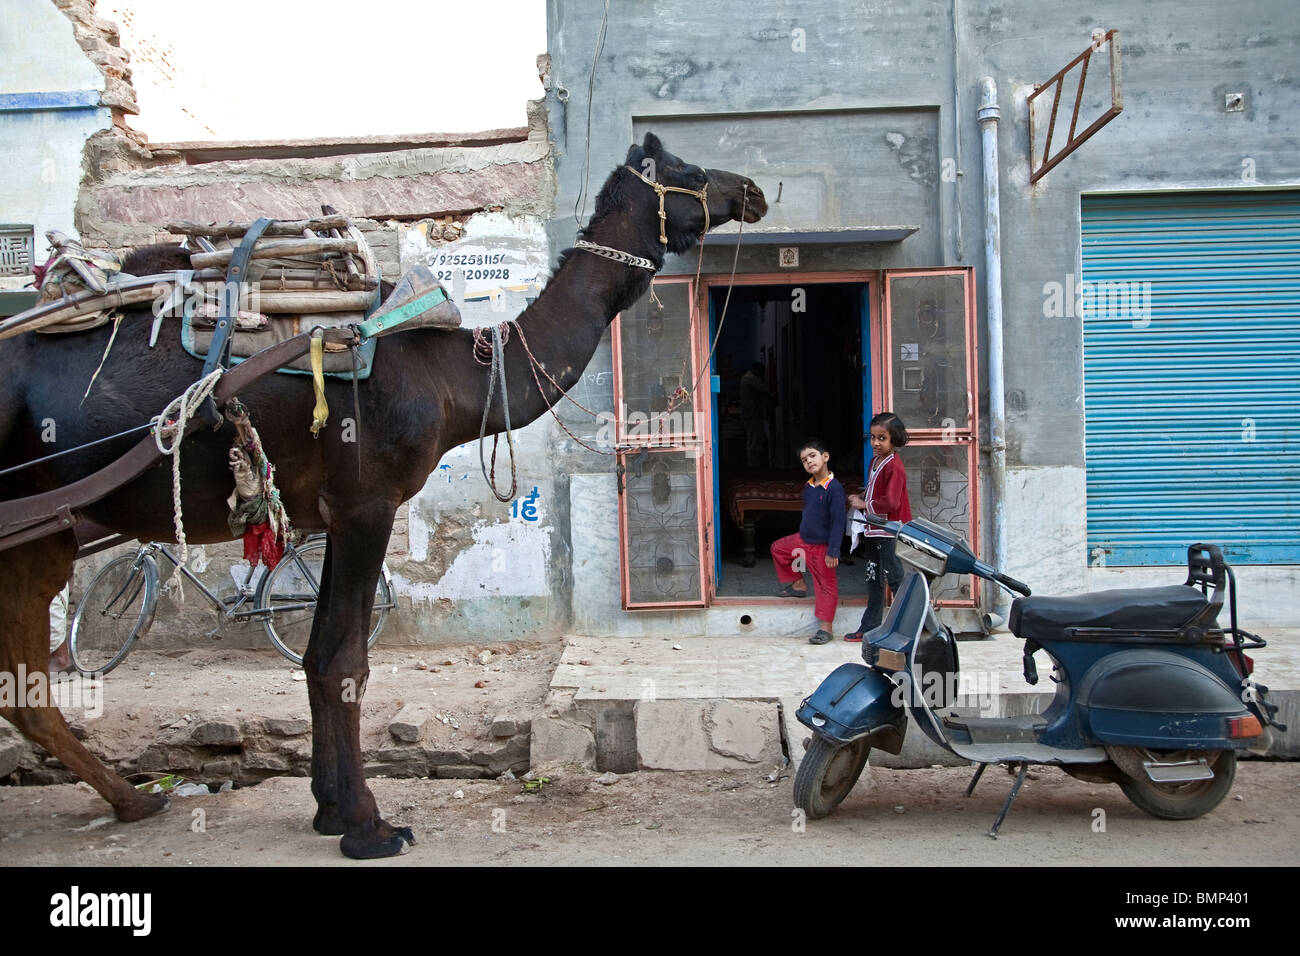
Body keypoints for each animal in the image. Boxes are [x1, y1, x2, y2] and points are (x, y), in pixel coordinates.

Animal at [0, 134, 764, 858]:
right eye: (691, 172)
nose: (752, 191)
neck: (459, 373)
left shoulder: (333, 513)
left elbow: (318, 655)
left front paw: (329, 809)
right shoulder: (368, 502)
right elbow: (344, 660)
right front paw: (367, 827)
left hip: (42, 537)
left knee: (25, 686)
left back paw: (135, 800)